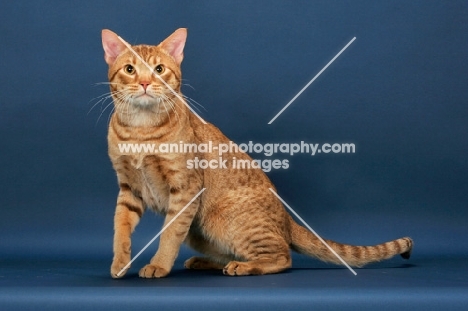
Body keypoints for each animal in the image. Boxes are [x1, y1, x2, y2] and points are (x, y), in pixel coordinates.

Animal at [100, 28, 412, 280]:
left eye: (159, 69)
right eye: (130, 69)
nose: (144, 83)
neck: (140, 131)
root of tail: (287, 218)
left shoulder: (185, 188)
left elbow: (169, 234)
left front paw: (159, 266)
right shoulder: (128, 188)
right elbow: (120, 228)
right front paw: (119, 263)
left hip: (219, 219)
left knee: (282, 257)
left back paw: (243, 267)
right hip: (200, 231)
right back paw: (208, 262)